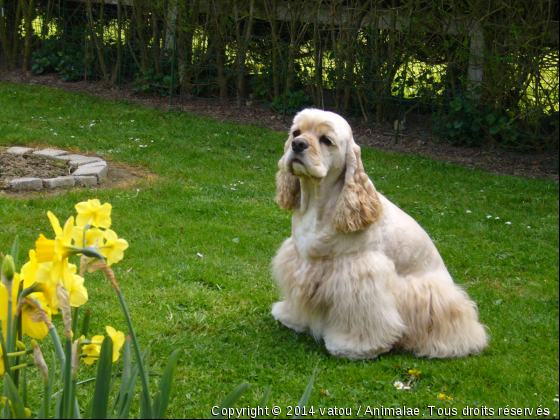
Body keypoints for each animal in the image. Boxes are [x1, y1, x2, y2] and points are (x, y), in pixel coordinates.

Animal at [270, 109, 486, 360]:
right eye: (296, 132)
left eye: (326, 140)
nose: (298, 144)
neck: (317, 204)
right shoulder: (300, 261)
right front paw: (292, 318)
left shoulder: (360, 274)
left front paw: (353, 346)